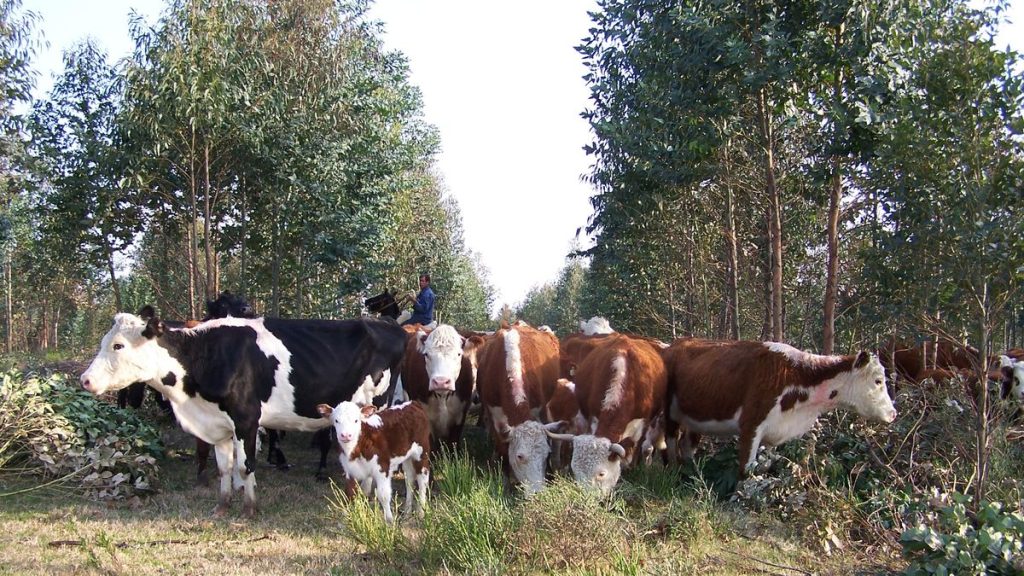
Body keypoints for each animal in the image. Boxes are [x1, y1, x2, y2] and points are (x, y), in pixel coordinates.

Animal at [80, 307, 407, 516]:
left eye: (118, 345)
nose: (85, 380)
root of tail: (393, 327)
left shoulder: (247, 420)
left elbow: (245, 465)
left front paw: (249, 509)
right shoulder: (219, 425)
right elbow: (224, 467)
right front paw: (222, 506)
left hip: (375, 405)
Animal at [475, 322, 562, 494]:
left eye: (546, 455)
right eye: (520, 456)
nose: (538, 492)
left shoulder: (539, 410)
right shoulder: (494, 414)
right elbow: (502, 446)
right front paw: (506, 481)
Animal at [663, 339, 897, 475]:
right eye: (878, 381)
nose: (893, 413)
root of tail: (675, 344)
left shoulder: (774, 431)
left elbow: (765, 464)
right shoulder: (751, 424)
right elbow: (746, 470)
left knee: (687, 446)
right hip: (669, 414)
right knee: (671, 443)